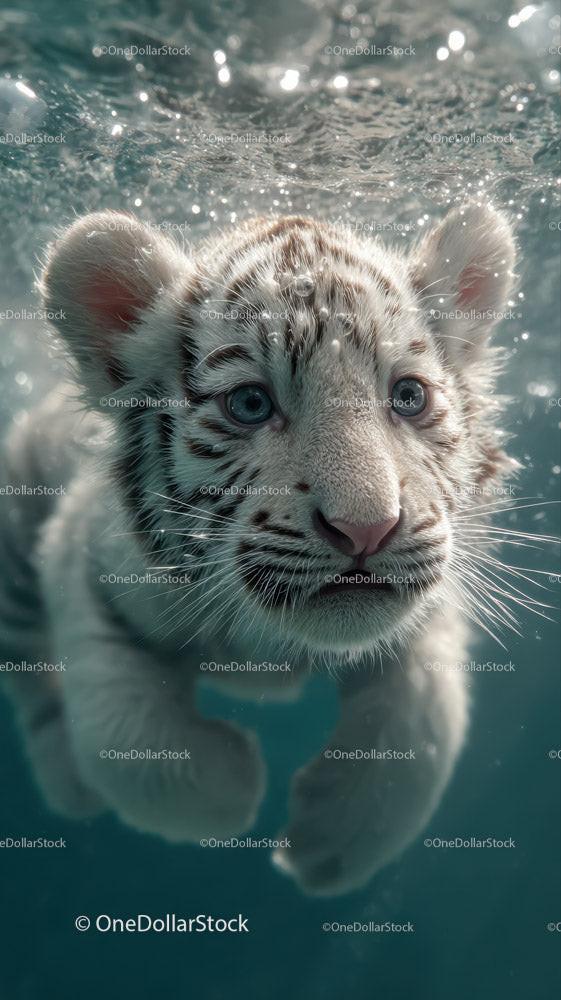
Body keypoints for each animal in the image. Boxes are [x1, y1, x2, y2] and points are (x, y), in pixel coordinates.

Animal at [0, 202, 517, 895]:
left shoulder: (431, 594)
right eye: (249, 404)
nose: (367, 528)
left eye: (409, 397)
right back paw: (66, 780)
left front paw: (331, 846)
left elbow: (427, 721)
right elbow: (123, 735)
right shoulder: (81, 558)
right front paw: (236, 784)